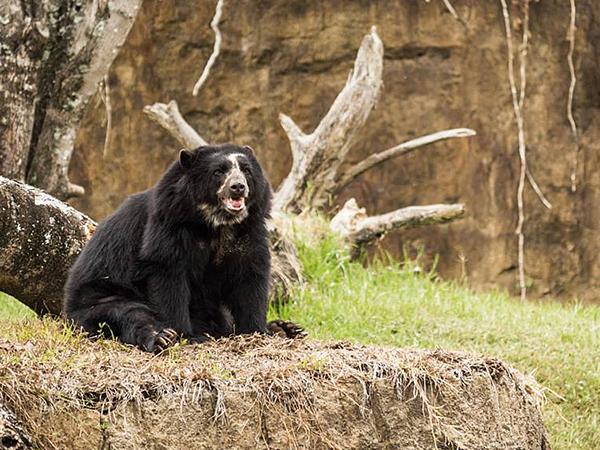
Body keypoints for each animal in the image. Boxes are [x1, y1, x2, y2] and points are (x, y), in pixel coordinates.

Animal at [62, 144, 298, 352]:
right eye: (218, 172)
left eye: (246, 171)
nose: (238, 187)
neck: (217, 224)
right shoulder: (168, 226)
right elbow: (169, 277)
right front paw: (186, 335)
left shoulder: (249, 232)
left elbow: (250, 278)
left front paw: (257, 331)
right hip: (98, 302)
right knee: (131, 314)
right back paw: (161, 338)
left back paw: (285, 328)